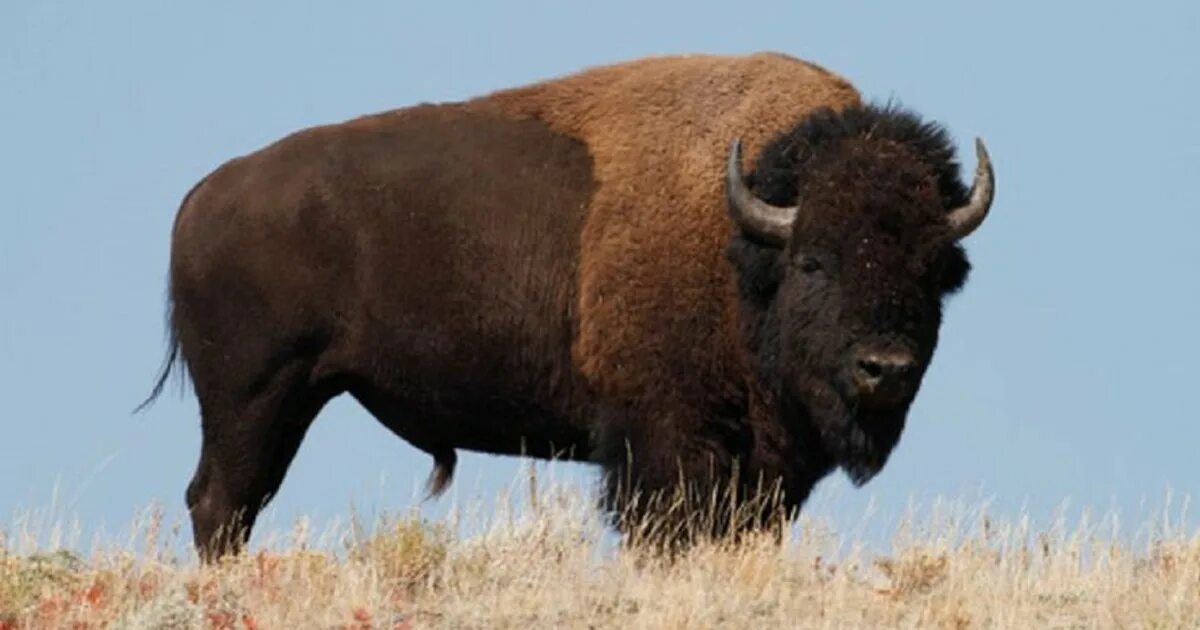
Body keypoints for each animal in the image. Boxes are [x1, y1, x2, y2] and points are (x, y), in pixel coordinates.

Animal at [142, 52, 993, 554]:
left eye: (933, 269)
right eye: (814, 260)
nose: (884, 368)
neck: (741, 240)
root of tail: (205, 195)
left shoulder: (766, 470)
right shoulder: (663, 443)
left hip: (290, 399)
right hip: (253, 397)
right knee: (221, 499)